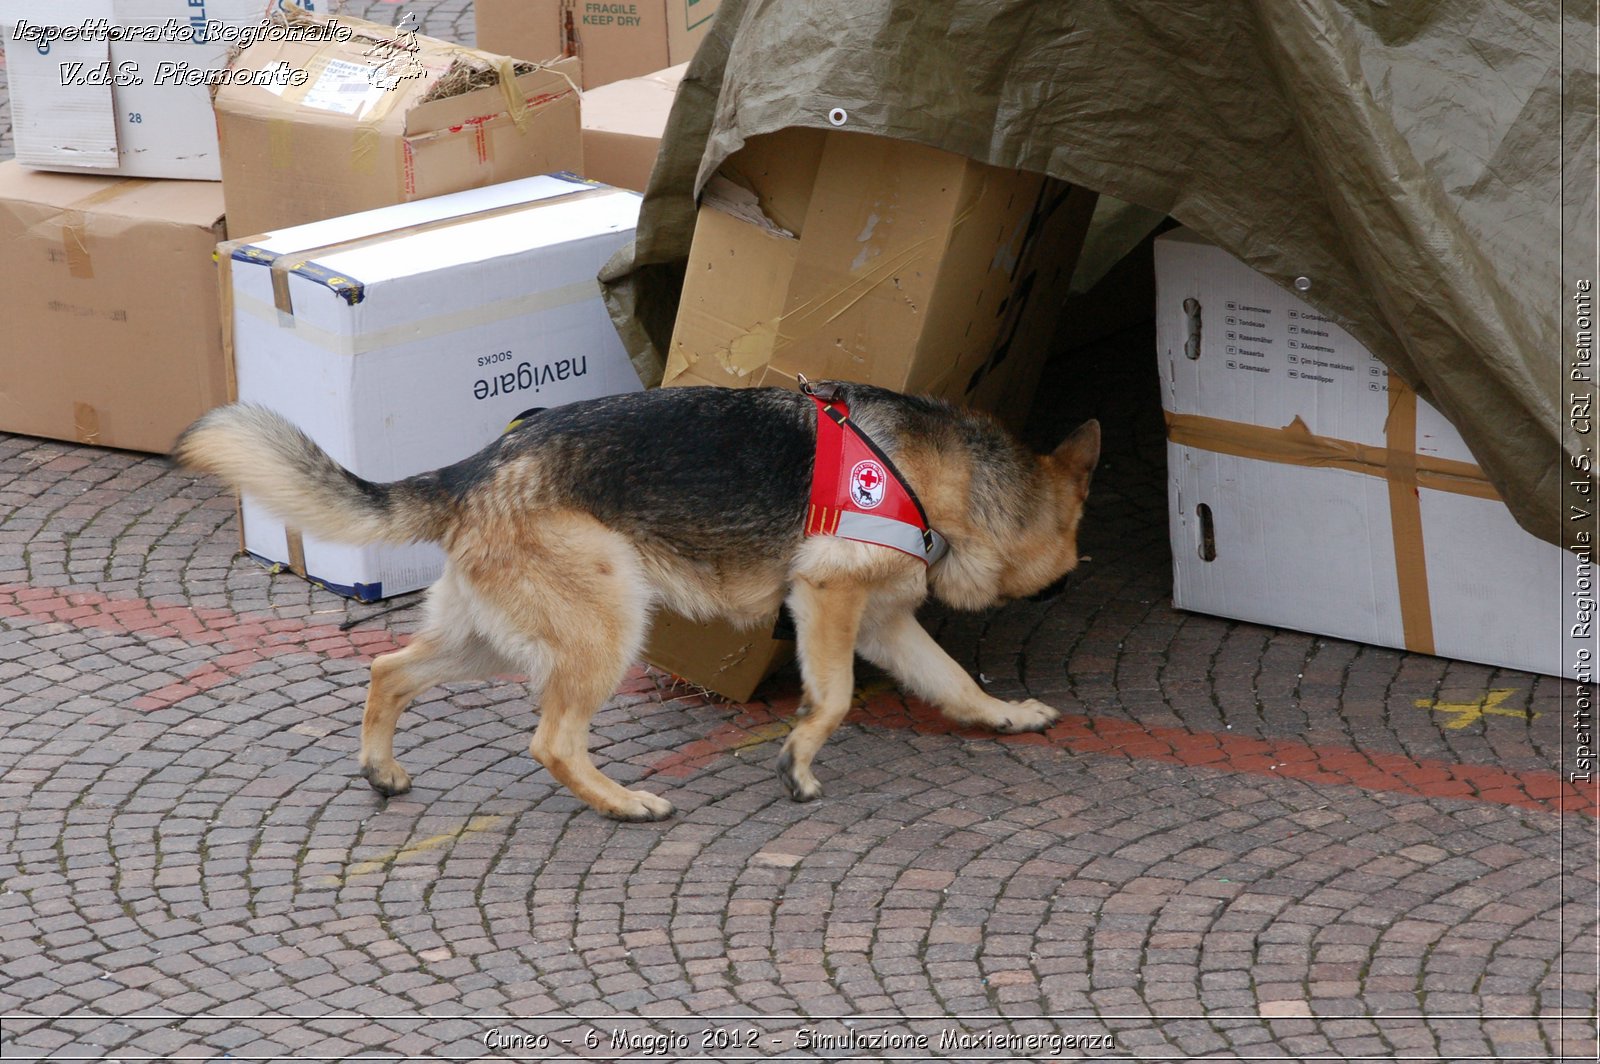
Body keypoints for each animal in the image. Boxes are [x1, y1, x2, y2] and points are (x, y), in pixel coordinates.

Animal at [175, 384, 1100, 819]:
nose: (1080, 577)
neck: (955, 475)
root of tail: (476, 467)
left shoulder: (883, 622)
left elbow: (956, 684)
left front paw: (1007, 715)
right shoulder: (827, 598)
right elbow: (834, 699)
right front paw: (798, 763)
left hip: (486, 640)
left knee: (387, 668)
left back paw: (381, 768)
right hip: (609, 627)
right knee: (551, 740)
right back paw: (623, 803)